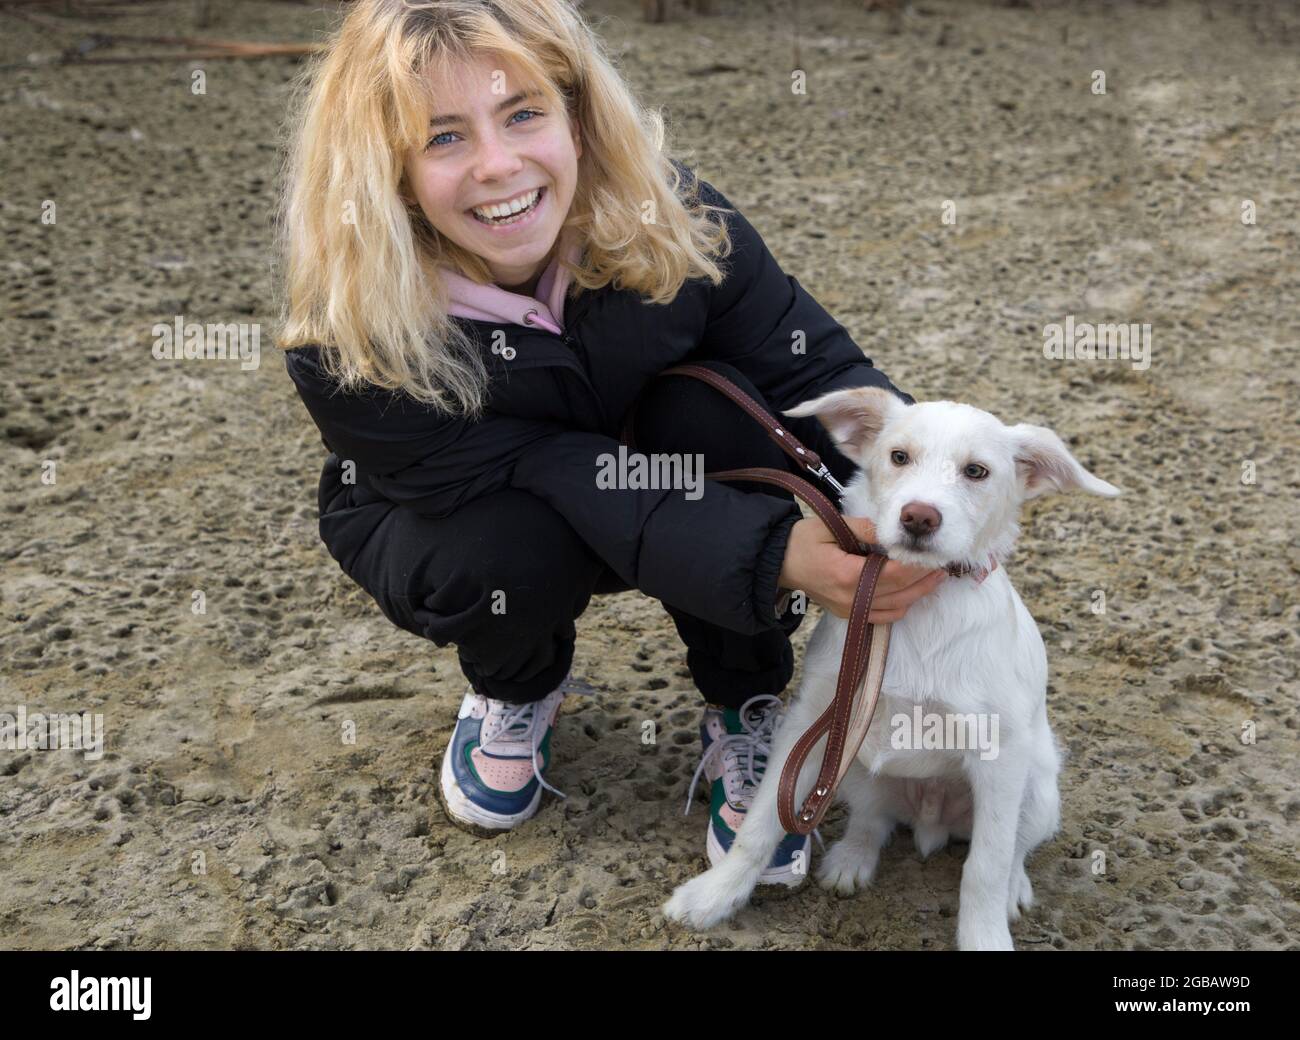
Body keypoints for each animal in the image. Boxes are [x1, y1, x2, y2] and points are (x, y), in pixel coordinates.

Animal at [665, 384, 1123, 951]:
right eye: (899, 457)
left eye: (977, 471)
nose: (919, 517)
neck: (914, 613)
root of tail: (930, 821)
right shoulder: (815, 719)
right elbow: (763, 818)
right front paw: (714, 895)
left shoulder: (1000, 753)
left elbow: (985, 866)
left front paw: (985, 935)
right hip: (854, 767)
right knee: (872, 819)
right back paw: (851, 859)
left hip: (1036, 786)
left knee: (1013, 847)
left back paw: (1014, 886)